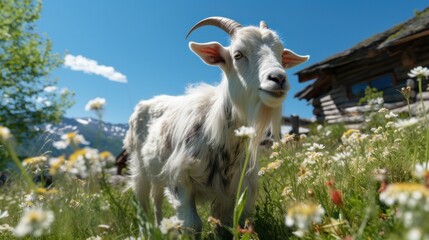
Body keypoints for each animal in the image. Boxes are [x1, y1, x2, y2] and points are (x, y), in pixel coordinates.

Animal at [123, 16, 308, 234]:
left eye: (281, 54)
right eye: (238, 54)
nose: (278, 78)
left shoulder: (237, 191)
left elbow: (228, 225)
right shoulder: (180, 179)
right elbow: (193, 225)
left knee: (157, 199)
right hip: (139, 167)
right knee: (143, 203)